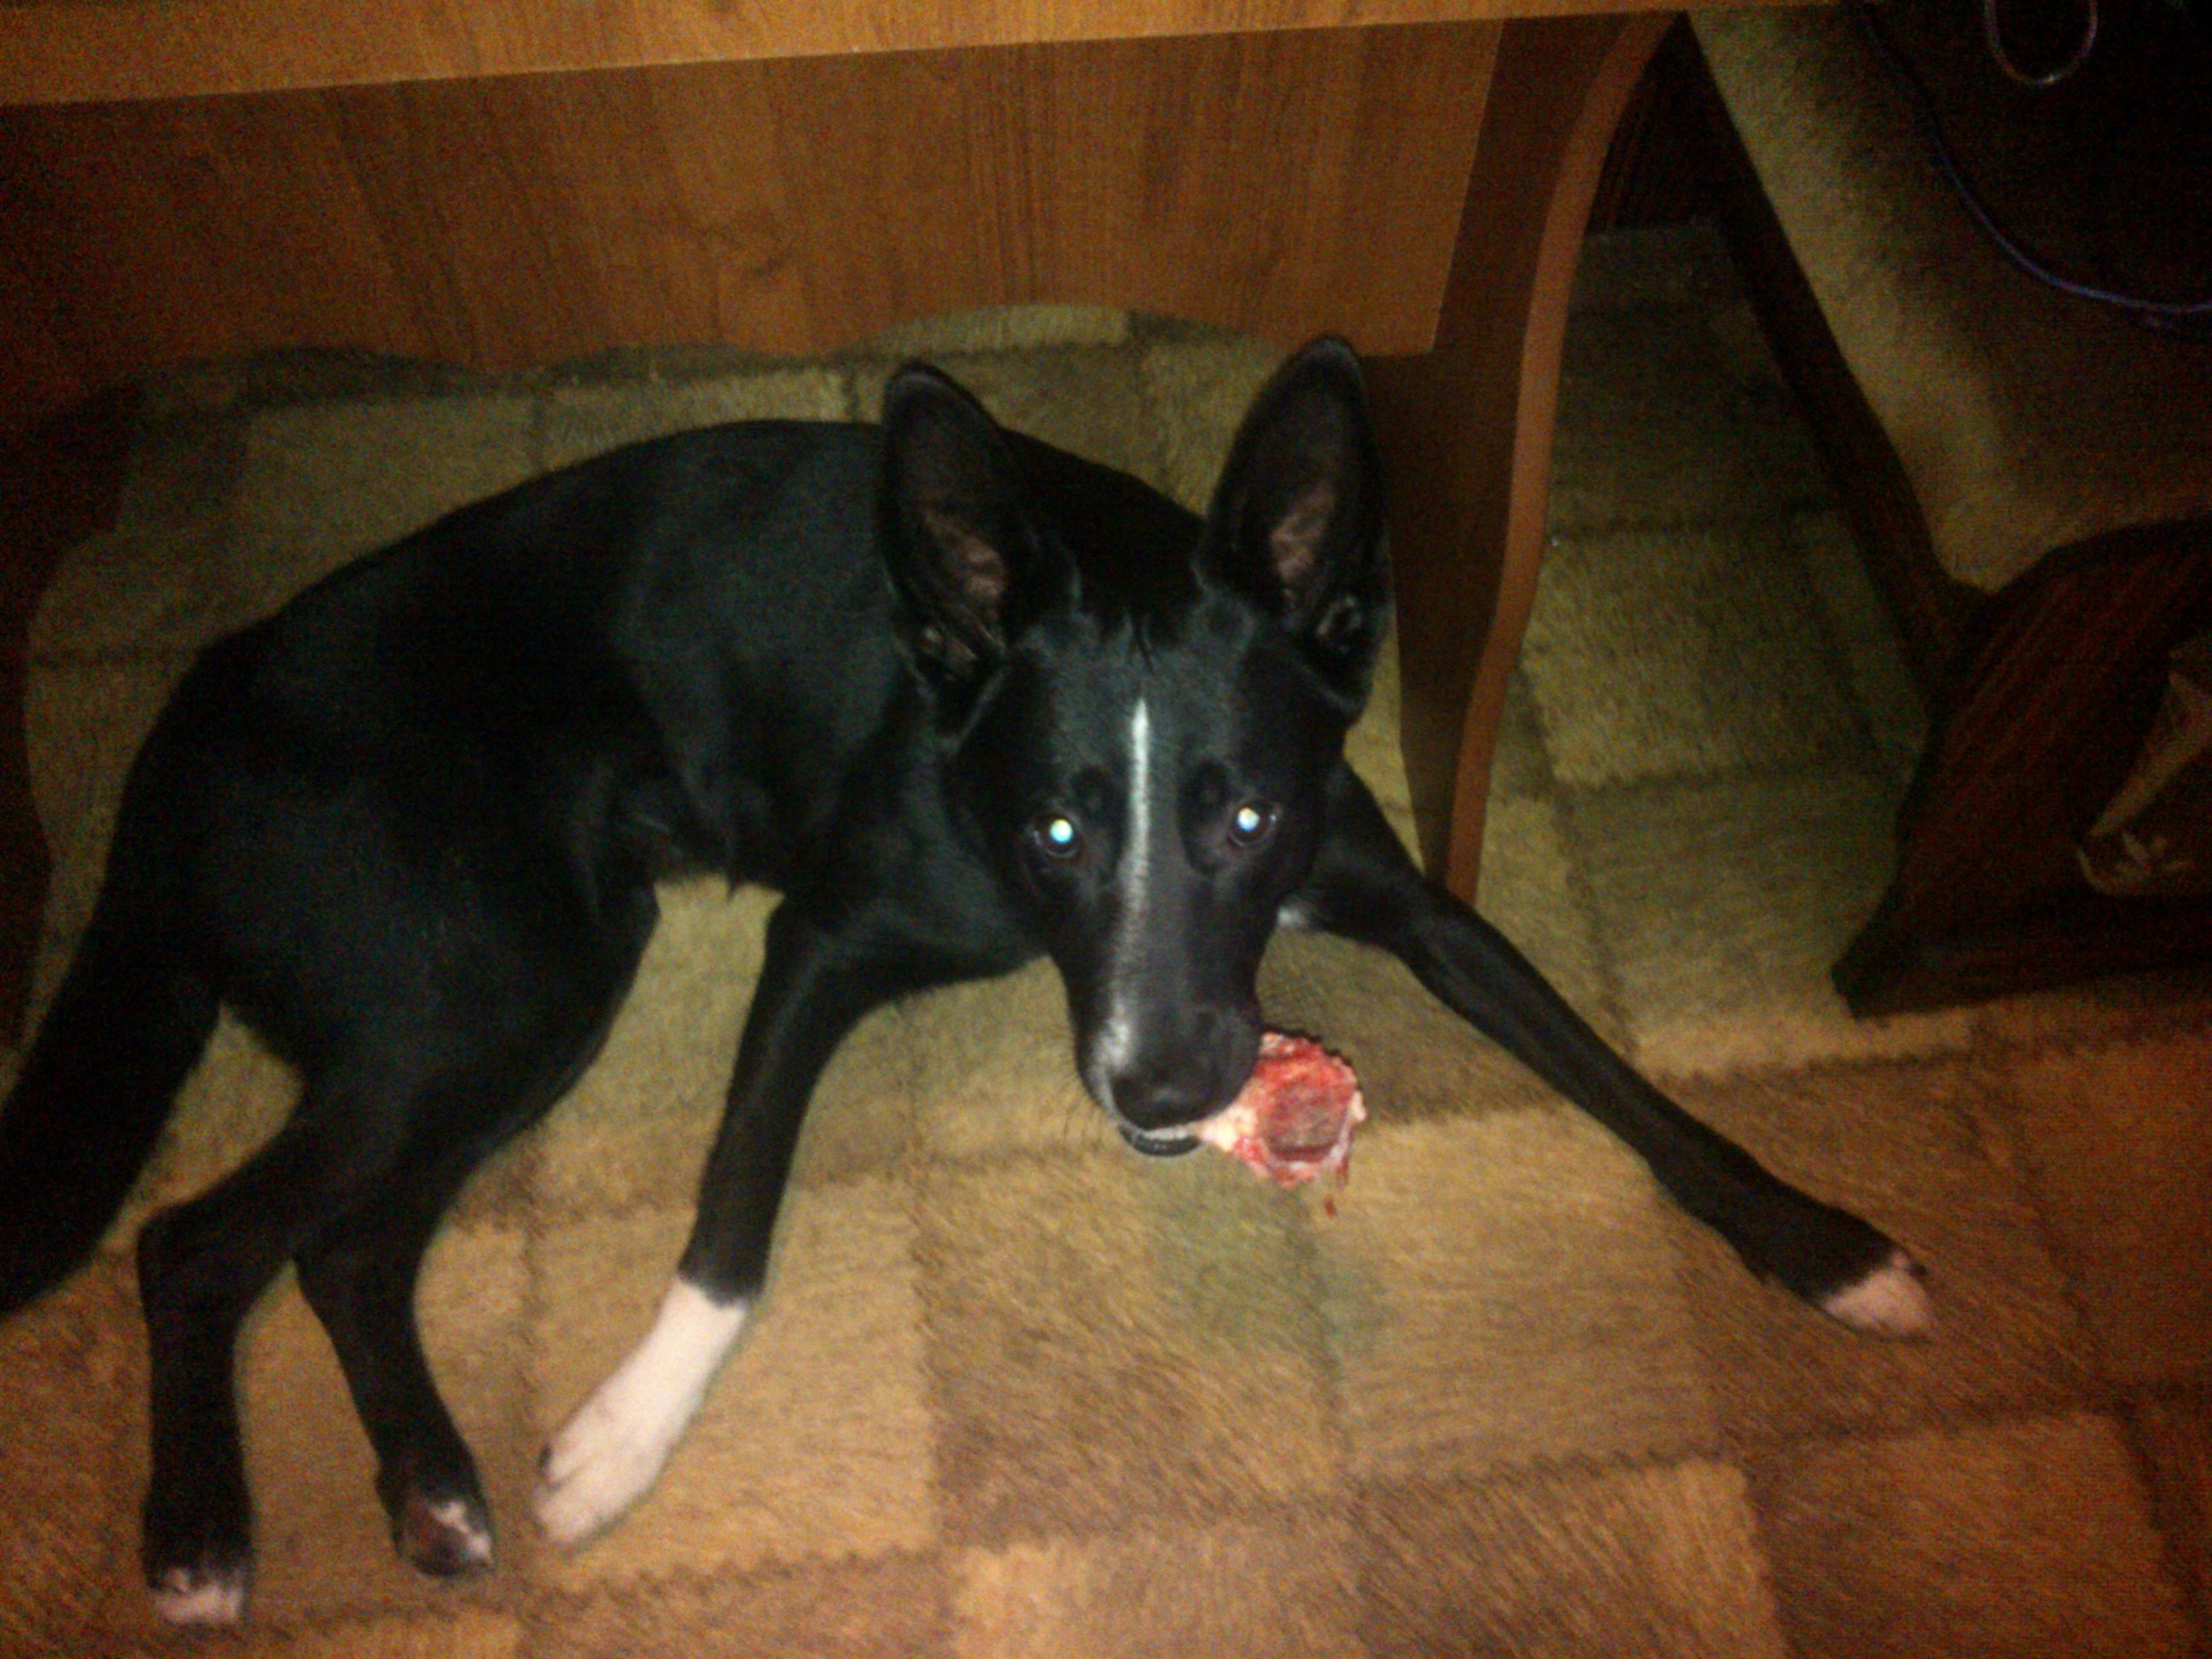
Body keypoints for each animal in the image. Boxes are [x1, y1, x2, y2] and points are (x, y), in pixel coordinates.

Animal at [0, 339, 1929, 1625]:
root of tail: (184, 717)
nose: (1166, 1086)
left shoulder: (1405, 901)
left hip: (513, 1006)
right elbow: (733, 1219)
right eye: (1056, 830)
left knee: (341, 1248)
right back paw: (202, 1534)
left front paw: (1827, 1245)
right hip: (489, 981)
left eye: (1244, 814)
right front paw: (625, 1438)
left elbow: (1629, 1084)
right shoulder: (821, 942)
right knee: (198, 1241)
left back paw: (426, 1485)